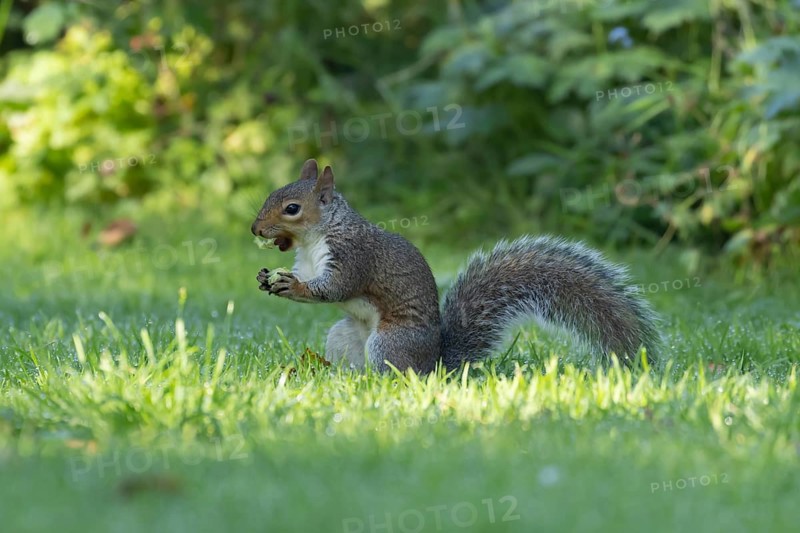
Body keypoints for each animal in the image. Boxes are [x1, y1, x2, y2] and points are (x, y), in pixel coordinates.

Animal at [251, 159, 660, 373]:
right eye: (270, 195)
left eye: (292, 208)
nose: (255, 229)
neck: (315, 238)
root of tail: (436, 365)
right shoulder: (307, 262)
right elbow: (309, 278)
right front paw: (266, 277)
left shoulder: (352, 256)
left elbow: (334, 288)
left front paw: (291, 287)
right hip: (344, 336)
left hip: (391, 341)